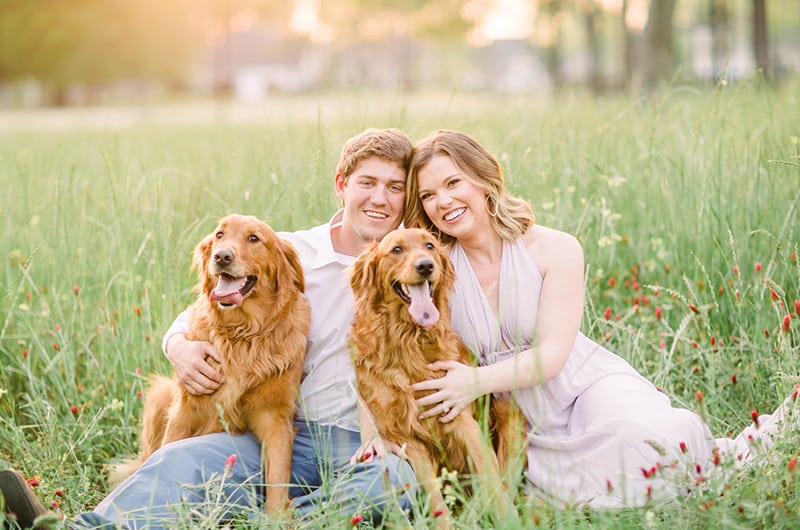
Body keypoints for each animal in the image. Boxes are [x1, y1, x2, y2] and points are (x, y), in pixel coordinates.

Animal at [111, 212, 310, 512]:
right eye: (219, 235)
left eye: (254, 238)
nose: (222, 256)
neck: (242, 333)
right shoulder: (186, 408)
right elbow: (165, 454)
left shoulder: (274, 416)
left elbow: (277, 477)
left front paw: (276, 516)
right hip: (161, 393)